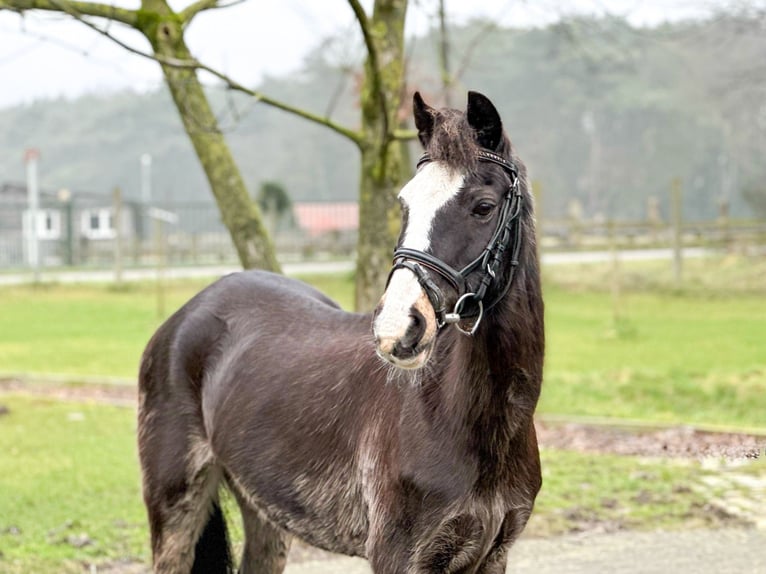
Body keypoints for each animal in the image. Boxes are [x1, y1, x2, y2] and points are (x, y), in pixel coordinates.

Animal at [138, 92, 544, 572]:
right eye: (404, 204)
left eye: (483, 206)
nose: (397, 328)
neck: (466, 417)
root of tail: (188, 314)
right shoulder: (398, 557)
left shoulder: (492, 555)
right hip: (175, 510)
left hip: (264, 513)